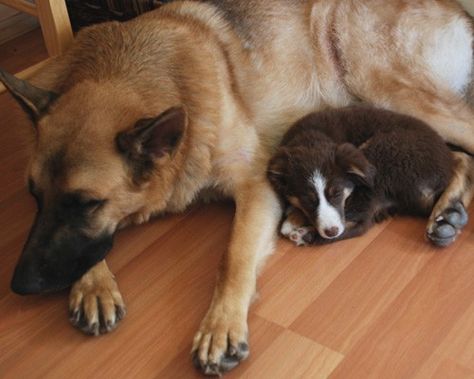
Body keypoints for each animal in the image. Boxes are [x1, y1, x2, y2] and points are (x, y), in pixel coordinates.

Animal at [264, 106, 468, 246]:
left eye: (337, 193)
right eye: (308, 200)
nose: (331, 231)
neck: (310, 139)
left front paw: (294, 220)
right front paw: (295, 215)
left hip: (381, 155)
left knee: (362, 223)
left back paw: (306, 235)